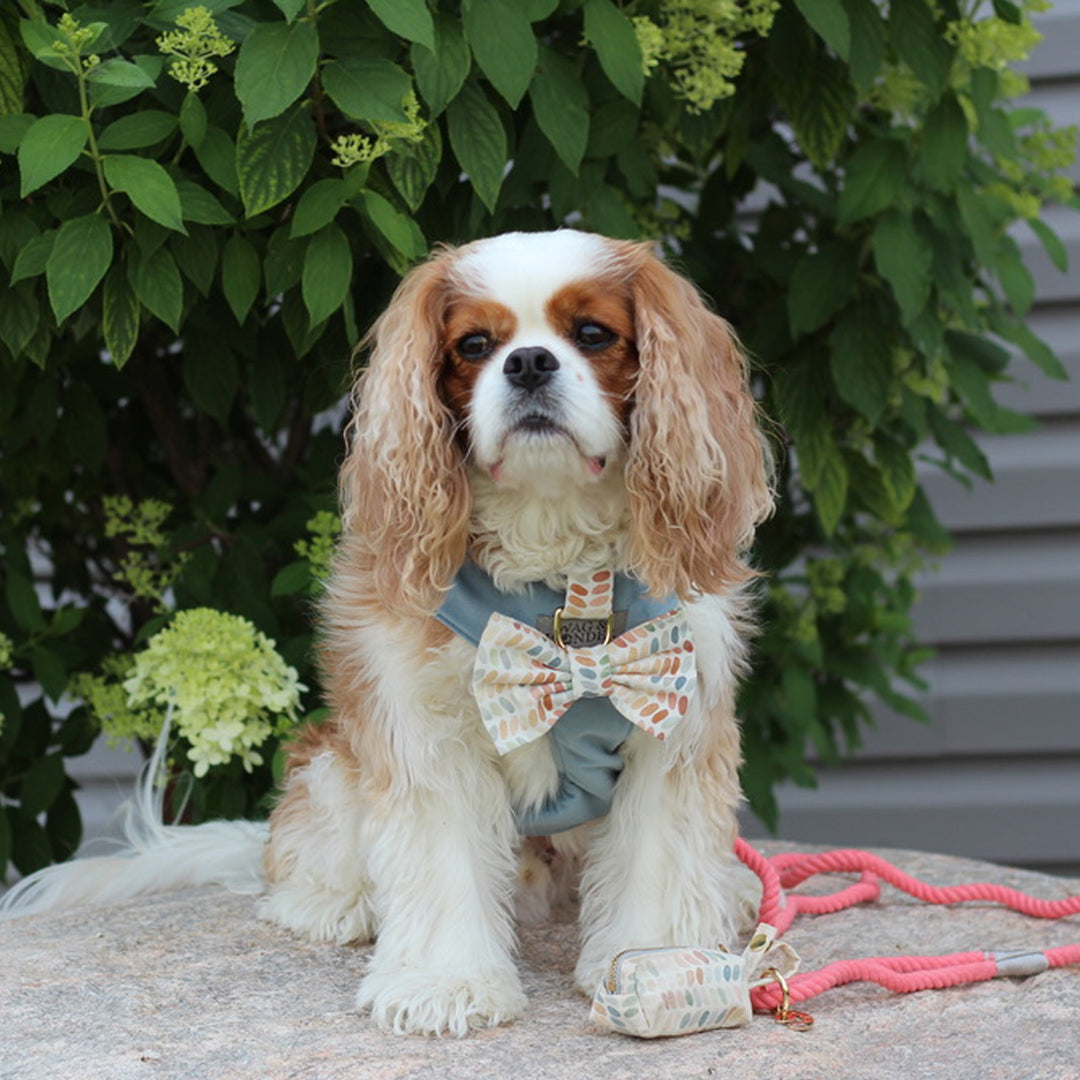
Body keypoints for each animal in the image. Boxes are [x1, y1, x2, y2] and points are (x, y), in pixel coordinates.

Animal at [2, 230, 777, 1036]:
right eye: (474, 345)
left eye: (592, 334)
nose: (528, 362)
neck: (558, 583)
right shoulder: (423, 730)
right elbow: (443, 863)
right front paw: (447, 983)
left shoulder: (673, 716)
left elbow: (656, 859)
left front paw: (658, 968)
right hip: (331, 761)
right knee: (305, 854)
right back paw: (333, 903)